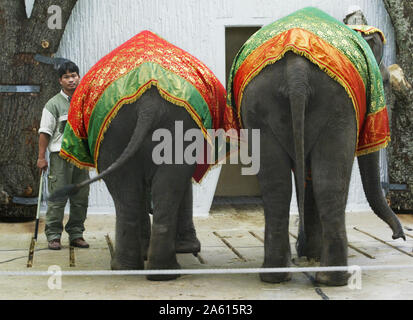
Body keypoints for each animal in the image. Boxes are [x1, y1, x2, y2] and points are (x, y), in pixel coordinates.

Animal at [229, 7, 406, 286]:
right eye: (385, 82)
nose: (399, 236)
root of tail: (297, 71)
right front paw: (309, 254)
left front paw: (306, 254)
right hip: (337, 107)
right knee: (330, 182)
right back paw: (333, 279)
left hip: (259, 104)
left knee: (276, 185)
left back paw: (275, 276)